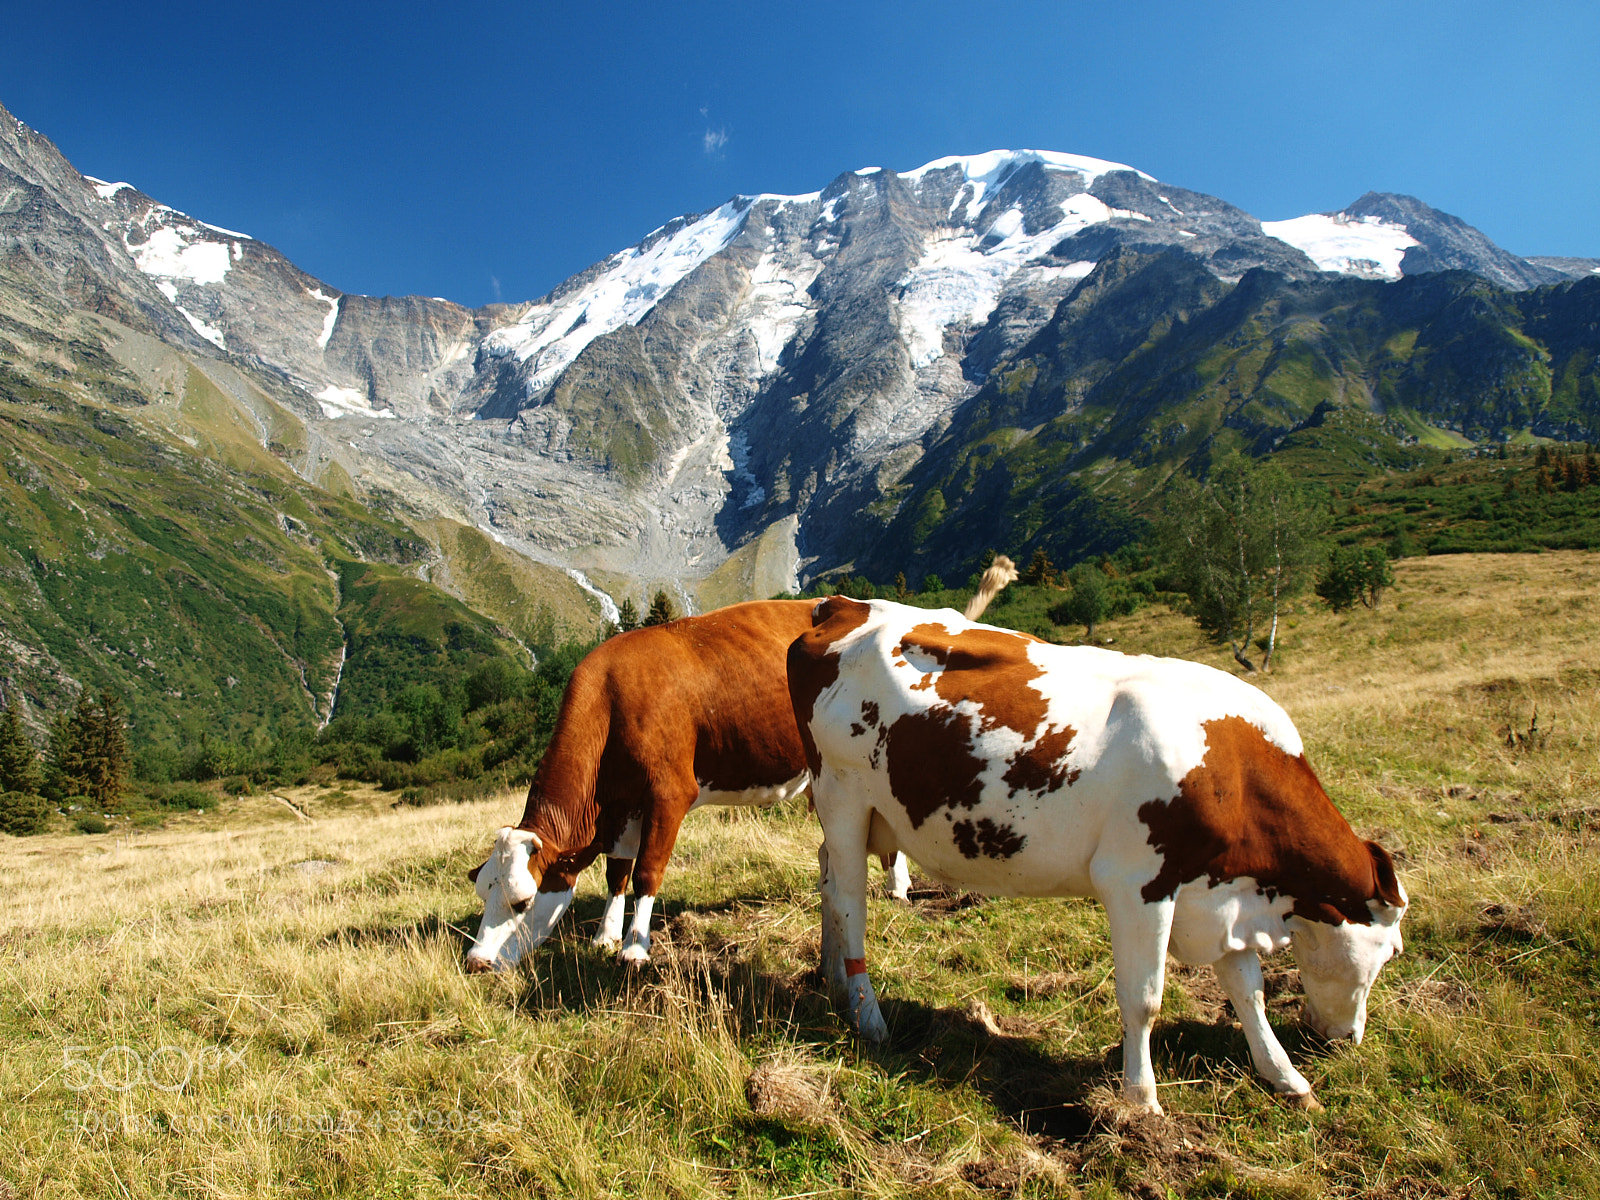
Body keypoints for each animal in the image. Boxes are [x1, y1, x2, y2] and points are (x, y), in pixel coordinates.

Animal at [788, 596, 1407, 1113]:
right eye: (1390, 952)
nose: (1348, 1040)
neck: (1230, 766)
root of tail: (843, 604)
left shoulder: (1217, 891)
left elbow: (1247, 991)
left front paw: (1285, 1077)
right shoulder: (1139, 884)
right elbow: (1144, 1000)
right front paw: (1141, 1102)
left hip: (868, 815)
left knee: (828, 883)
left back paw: (836, 985)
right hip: (843, 796)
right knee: (849, 902)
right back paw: (868, 1016)